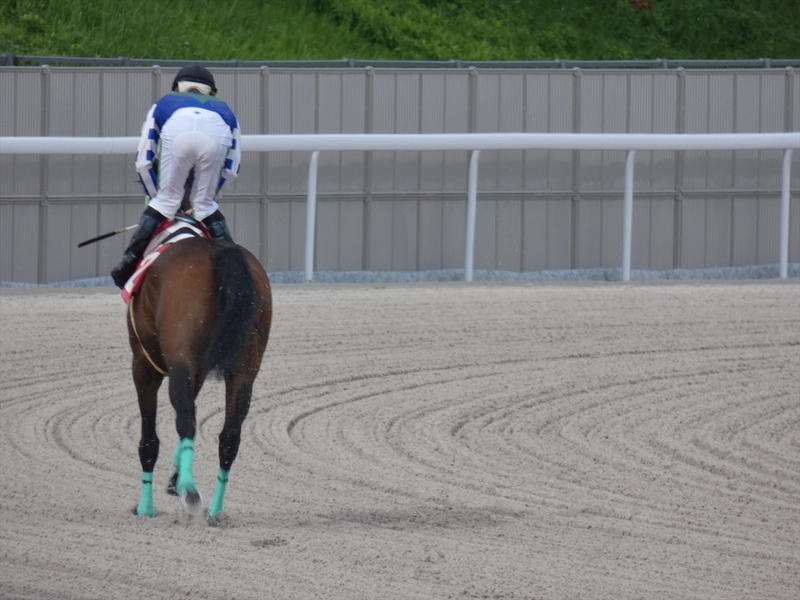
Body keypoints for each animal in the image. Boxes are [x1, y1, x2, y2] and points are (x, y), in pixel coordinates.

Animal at [127, 234, 272, 521]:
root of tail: (219, 251)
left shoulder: (145, 367)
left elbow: (149, 441)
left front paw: (146, 507)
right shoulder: (198, 373)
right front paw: (173, 478)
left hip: (178, 361)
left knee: (186, 421)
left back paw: (189, 490)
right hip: (243, 373)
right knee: (229, 436)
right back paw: (215, 510)